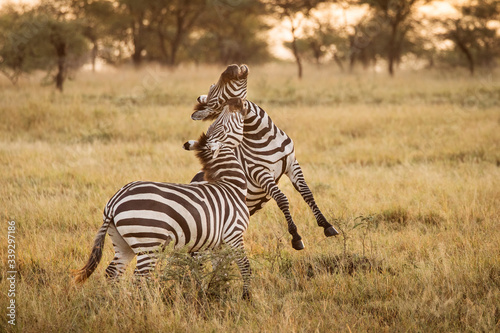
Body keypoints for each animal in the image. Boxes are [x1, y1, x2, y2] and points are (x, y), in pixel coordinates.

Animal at [72, 98, 252, 298]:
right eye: (224, 122)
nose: (237, 101)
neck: (231, 185)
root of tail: (115, 201)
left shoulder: (216, 243)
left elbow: (220, 269)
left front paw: (216, 292)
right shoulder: (234, 233)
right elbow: (244, 266)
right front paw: (246, 297)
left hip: (122, 242)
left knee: (113, 272)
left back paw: (115, 301)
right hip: (148, 243)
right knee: (139, 278)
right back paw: (144, 302)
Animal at [191, 63, 340, 249]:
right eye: (215, 92)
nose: (231, 68)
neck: (264, 134)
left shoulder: (292, 163)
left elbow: (307, 193)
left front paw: (327, 225)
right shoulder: (259, 172)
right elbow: (282, 199)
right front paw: (296, 237)